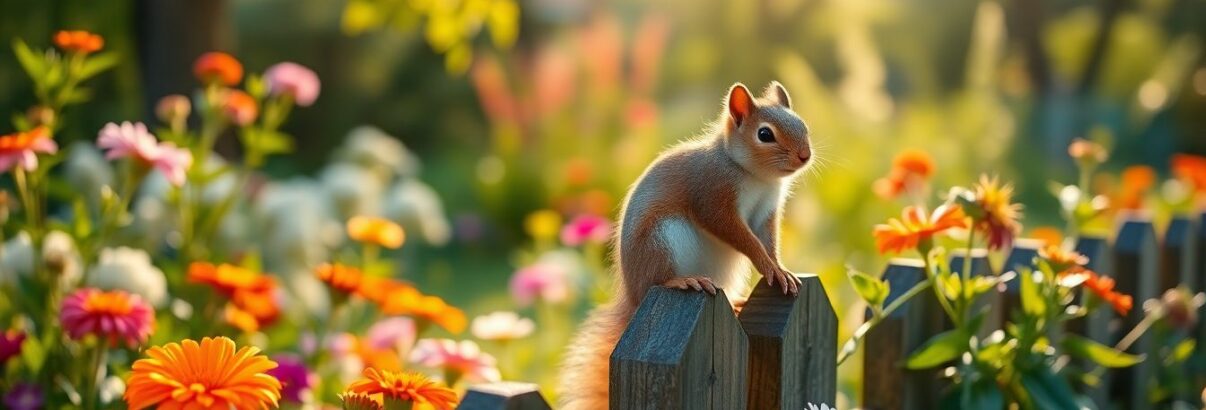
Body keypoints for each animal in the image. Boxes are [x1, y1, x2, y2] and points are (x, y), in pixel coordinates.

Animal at [558, 81, 811, 409]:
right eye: (765, 134)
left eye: (803, 125)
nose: (805, 155)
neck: (757, 177)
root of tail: (633, 298)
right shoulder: (713, 194)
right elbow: (740, 236)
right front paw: (767, 266)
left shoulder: (766, 212)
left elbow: (767, 242)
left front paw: (780, 269)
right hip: (661, 242)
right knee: (658, 279)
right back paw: (683, 281)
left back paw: (736, 302)